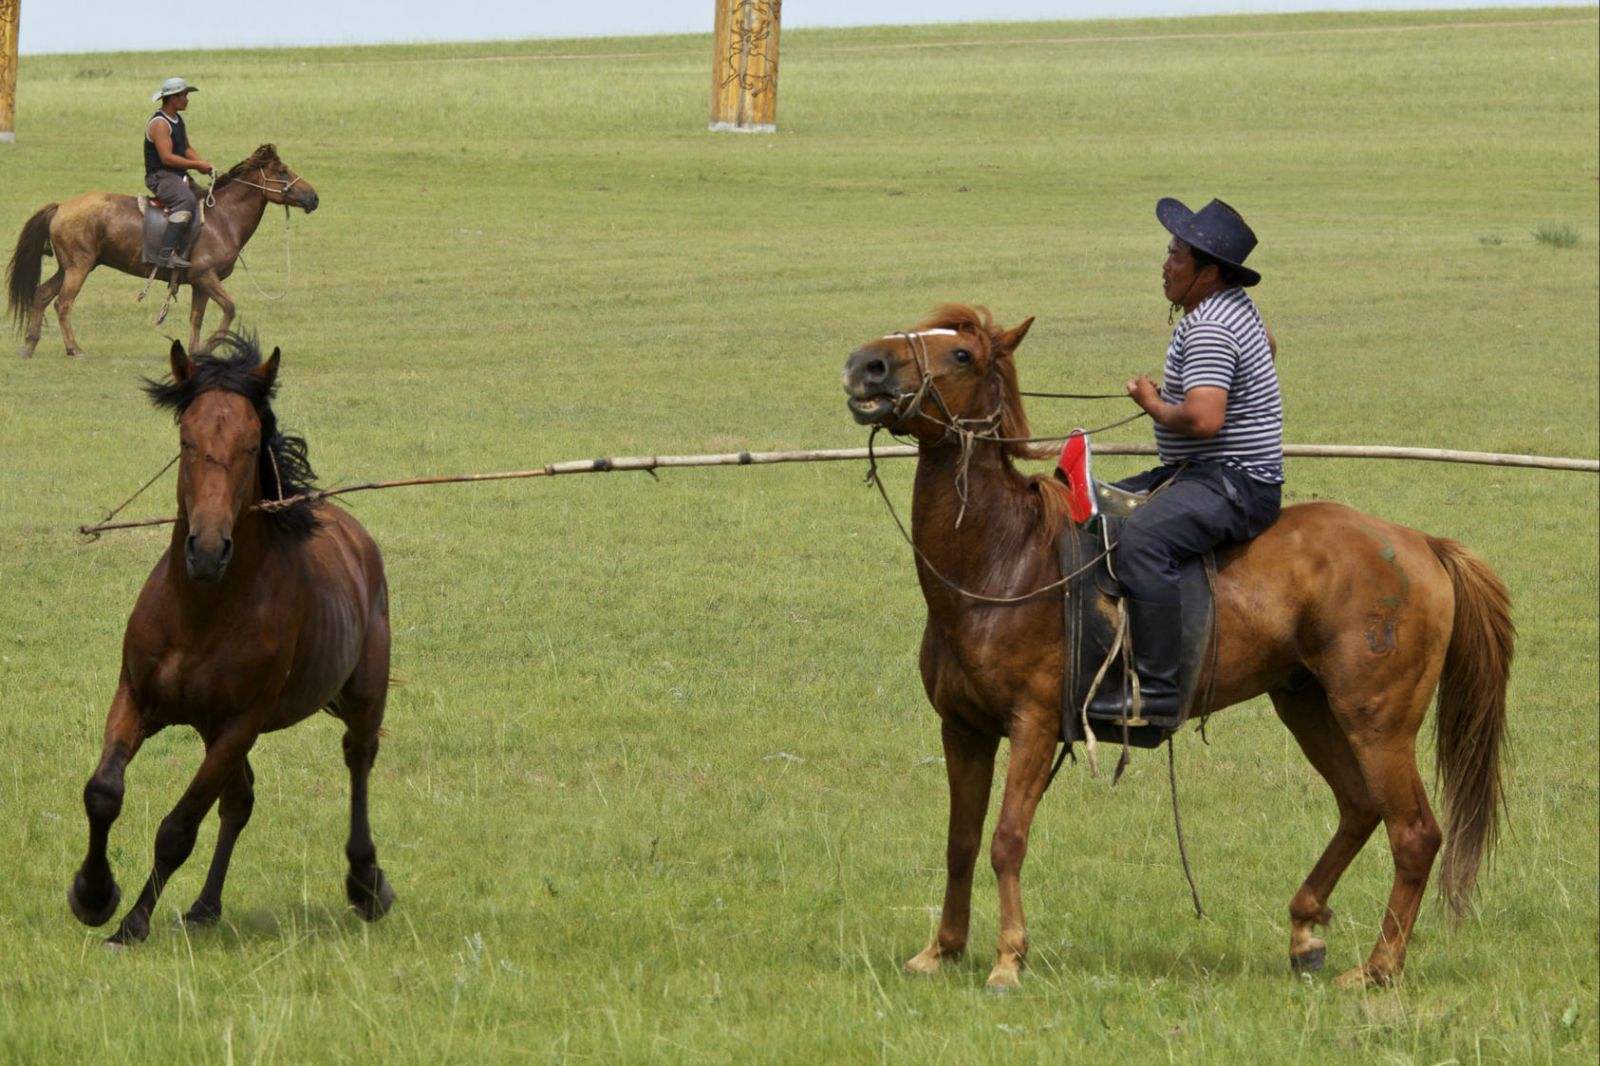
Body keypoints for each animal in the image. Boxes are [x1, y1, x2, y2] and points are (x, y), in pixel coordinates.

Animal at [6, 143, 316, 358]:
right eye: (282, 172)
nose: (314, 197)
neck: (223, 219)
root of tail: (61, 207)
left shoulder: (200, 284)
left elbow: (196, 318)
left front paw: (196, 351)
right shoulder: (206, 276)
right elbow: (229, 307)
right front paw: (210, 346)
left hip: (70, 266)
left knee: (42, 294)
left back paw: (29, 346)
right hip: (78, 268)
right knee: (63, 303)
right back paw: (74, 349)